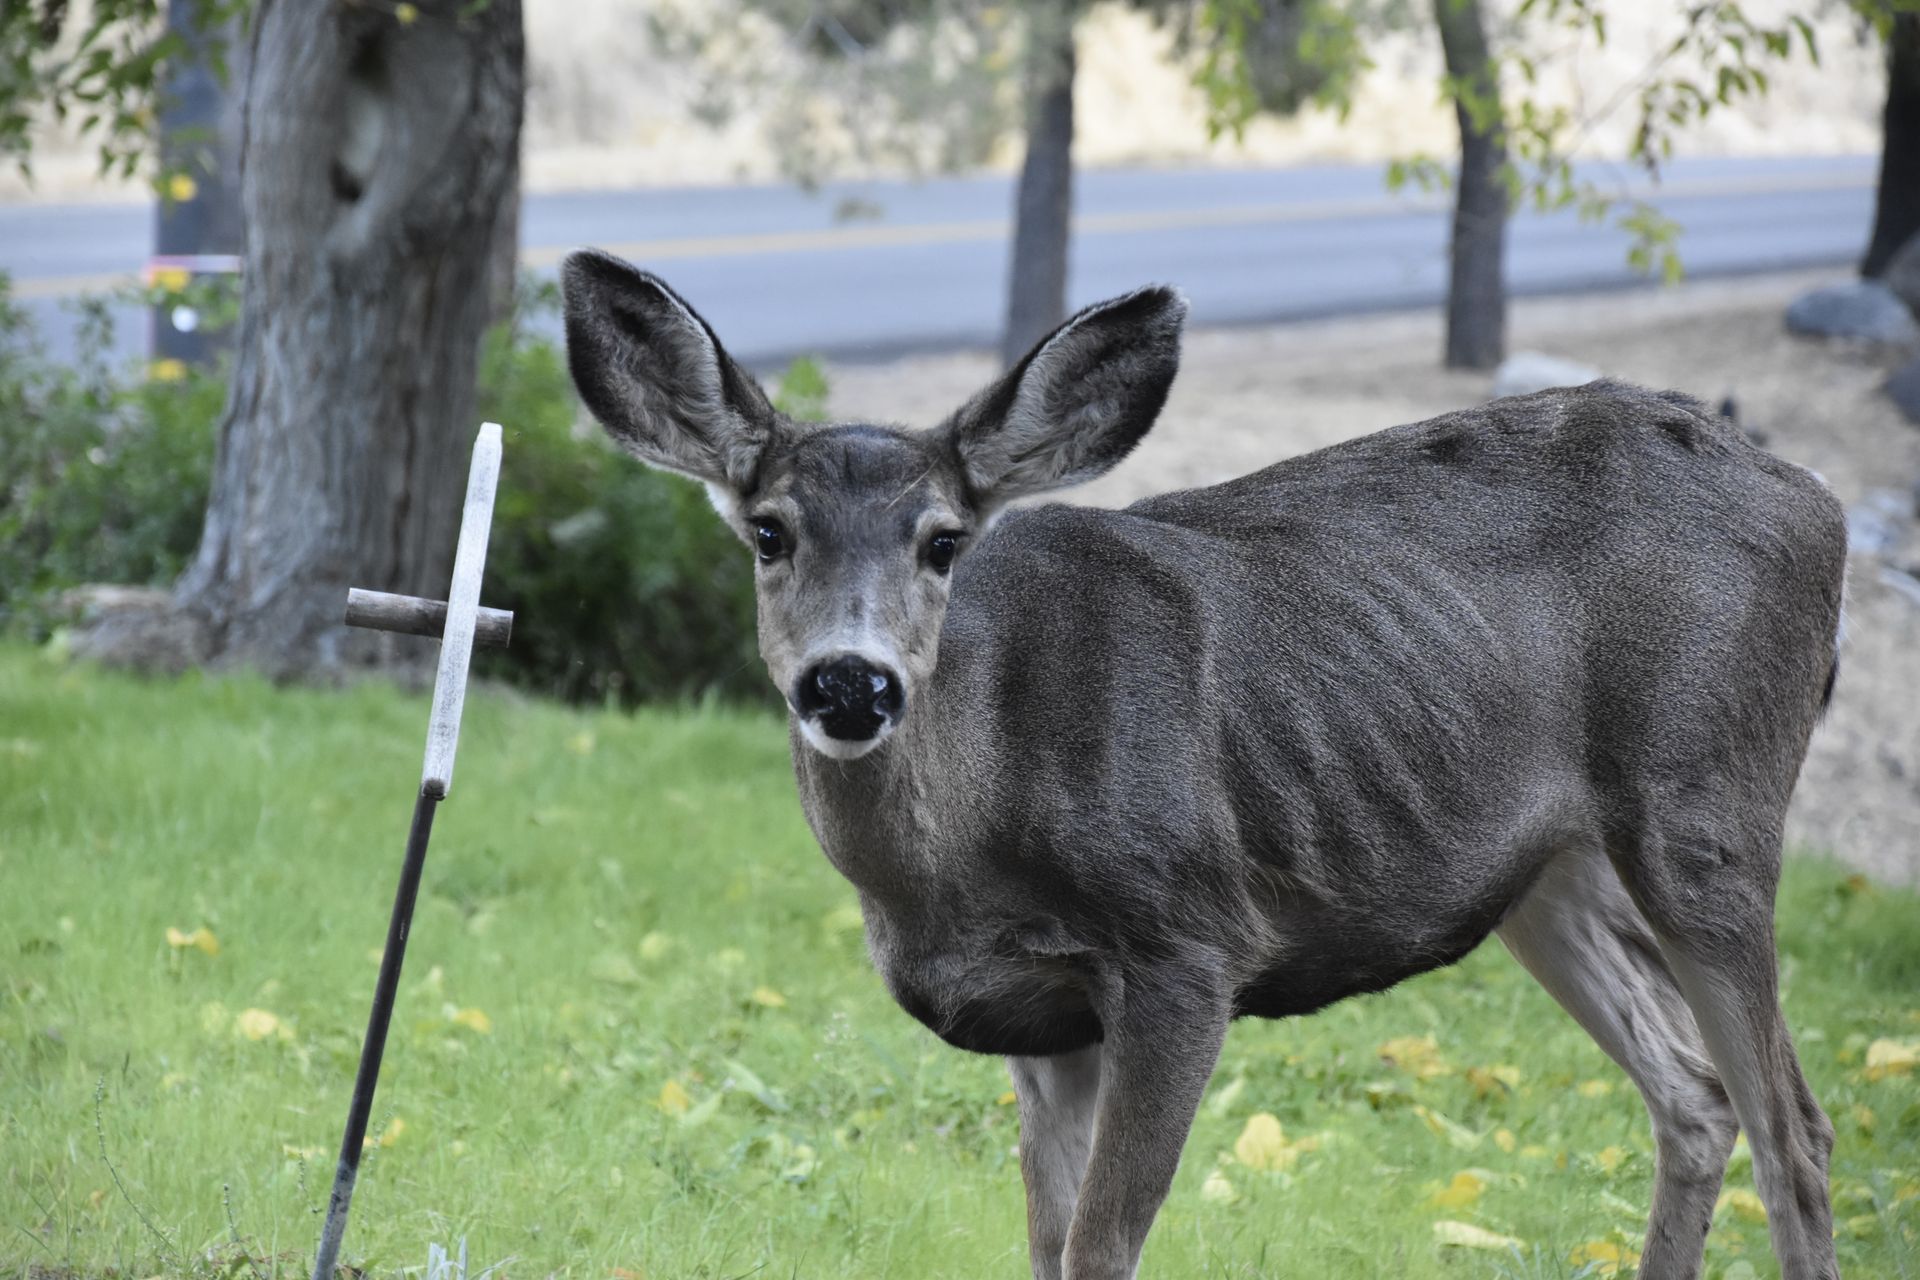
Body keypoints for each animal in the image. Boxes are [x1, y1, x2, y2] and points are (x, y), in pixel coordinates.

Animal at [561, 248, 1848, 1280]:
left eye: (943, 541)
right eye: (769, 531)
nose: (849, 681)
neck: (954, 858)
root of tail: (1822, 504)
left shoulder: (1186, 939)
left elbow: (1101, 1245)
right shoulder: (1046, 1018)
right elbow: (1045, 1243)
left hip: (1705, 803)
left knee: (1796, 1129)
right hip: (1549, 871)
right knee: (1694, 1096)